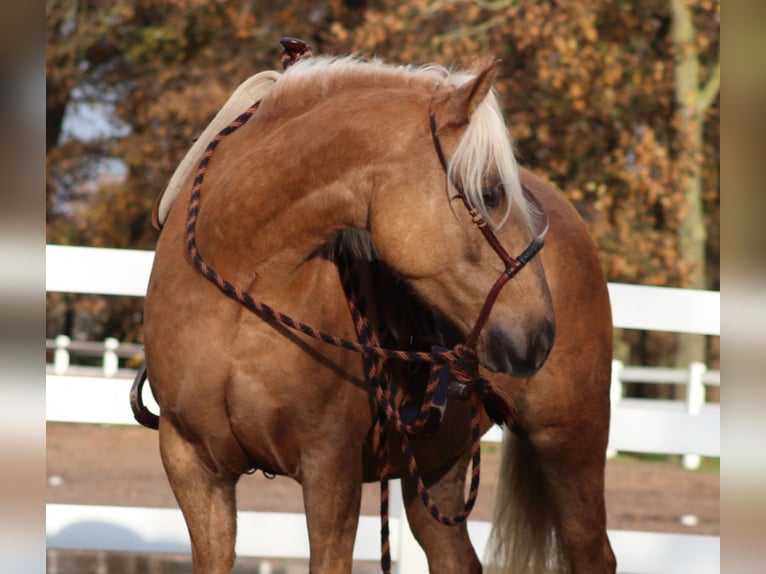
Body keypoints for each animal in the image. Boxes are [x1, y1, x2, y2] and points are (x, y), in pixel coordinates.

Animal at [140, 51, 616, 572]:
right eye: (489, 193)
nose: (540, 334)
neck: (239, 292)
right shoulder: (193, 468)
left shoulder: (330, 467)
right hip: (438, 464)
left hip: (569, 444)